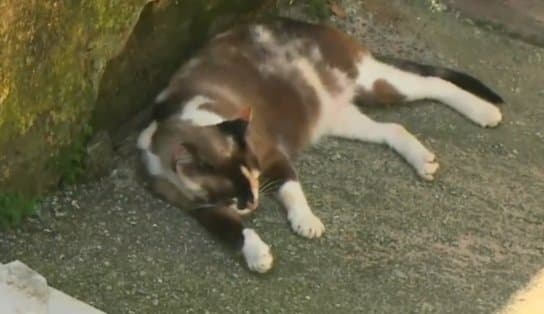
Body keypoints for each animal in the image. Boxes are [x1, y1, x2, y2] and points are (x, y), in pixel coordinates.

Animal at [136, 17, 502, 272]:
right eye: (231, 189)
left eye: (252, 174)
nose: (253, 201)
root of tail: (315, 26)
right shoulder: (202, 210)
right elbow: (237, 233)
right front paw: (257, 255)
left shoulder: (273, 156)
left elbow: (291, 189)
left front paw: (306, 223)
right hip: (342, 118)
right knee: (393, 128)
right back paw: (424, 161)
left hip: (375, 82)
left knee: (435, 83)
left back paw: (486, 112)